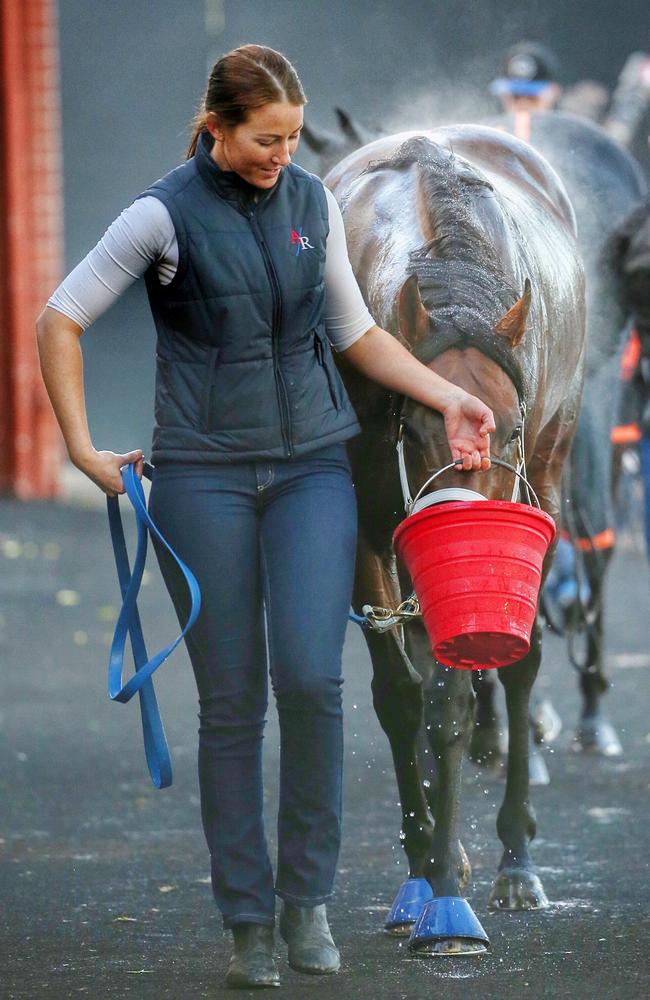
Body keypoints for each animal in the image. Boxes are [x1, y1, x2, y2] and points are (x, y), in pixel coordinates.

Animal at [326, 127, 584, 952]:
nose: (465, 512)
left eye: (507, 428)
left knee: (523, 658)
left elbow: (455, 696)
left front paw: (447, 891)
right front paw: (424, 870)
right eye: (417, 427)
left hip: (555, 472)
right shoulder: (368, 519)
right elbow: (403, 695)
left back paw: (514, 861)